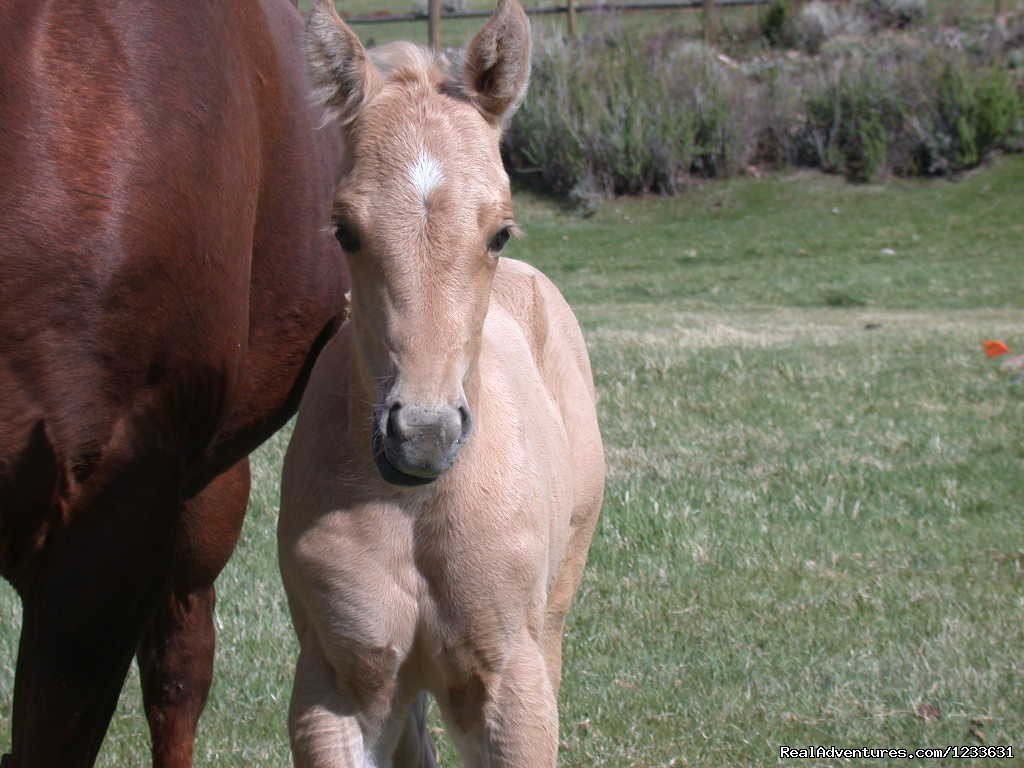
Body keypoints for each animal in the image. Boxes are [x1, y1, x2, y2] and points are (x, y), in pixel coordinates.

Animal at [276, 3, 602, 765]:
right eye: (344, 230)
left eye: (500, 232)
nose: (423, 436)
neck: (415, 509)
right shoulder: (333, 687)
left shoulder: (512, 686)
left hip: (554, 608)